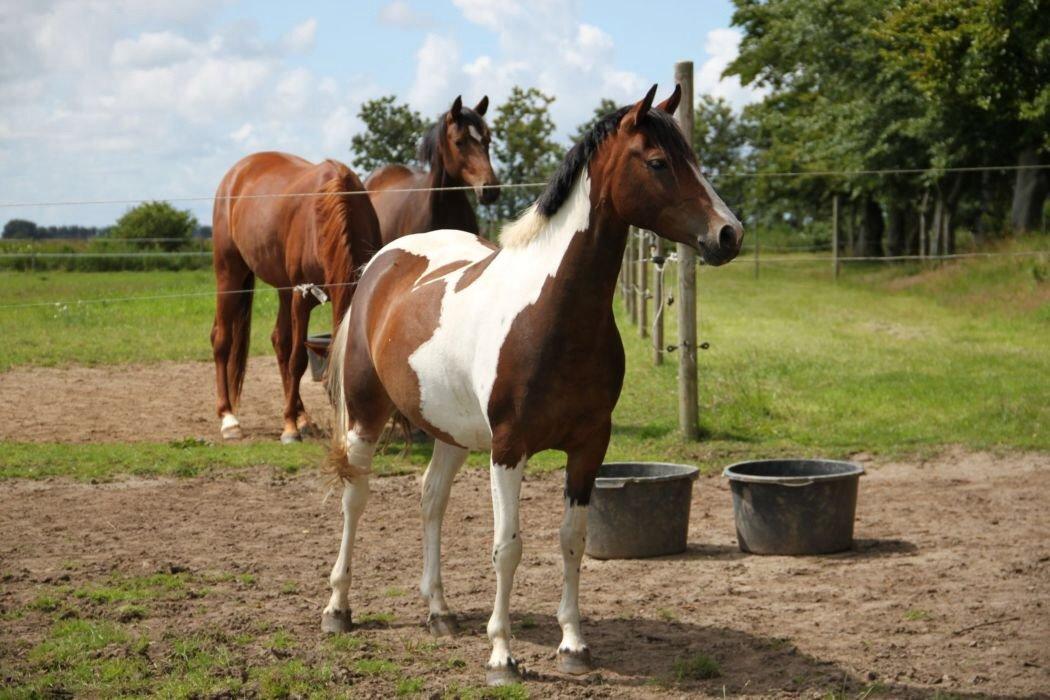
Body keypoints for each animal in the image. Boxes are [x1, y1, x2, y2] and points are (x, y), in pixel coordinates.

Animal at [208, 153, 382, 442]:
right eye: (331, 390)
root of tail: (236, 173)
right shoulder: (302, 298)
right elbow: (298, 359)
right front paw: (288, 427)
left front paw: (295, 419)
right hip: (229, 274)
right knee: (222, 339)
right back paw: (229, 419)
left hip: (283, 289)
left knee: (279, 341)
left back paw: (303, 417)